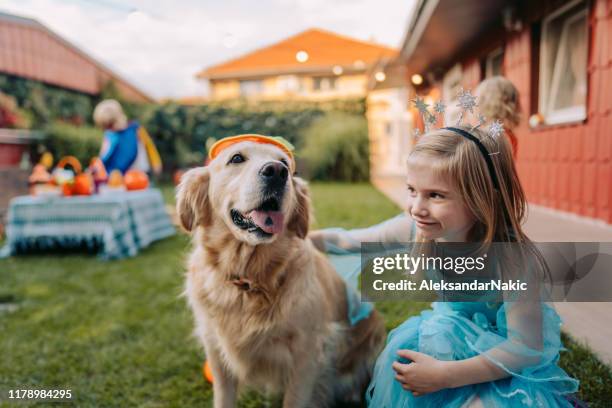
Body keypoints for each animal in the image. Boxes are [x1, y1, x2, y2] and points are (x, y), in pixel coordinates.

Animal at [177, 138, 384, 408]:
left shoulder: (308, 354)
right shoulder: (216, 352)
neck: (250, 280)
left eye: (285, 163)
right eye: (236, 158)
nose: (276, 172)